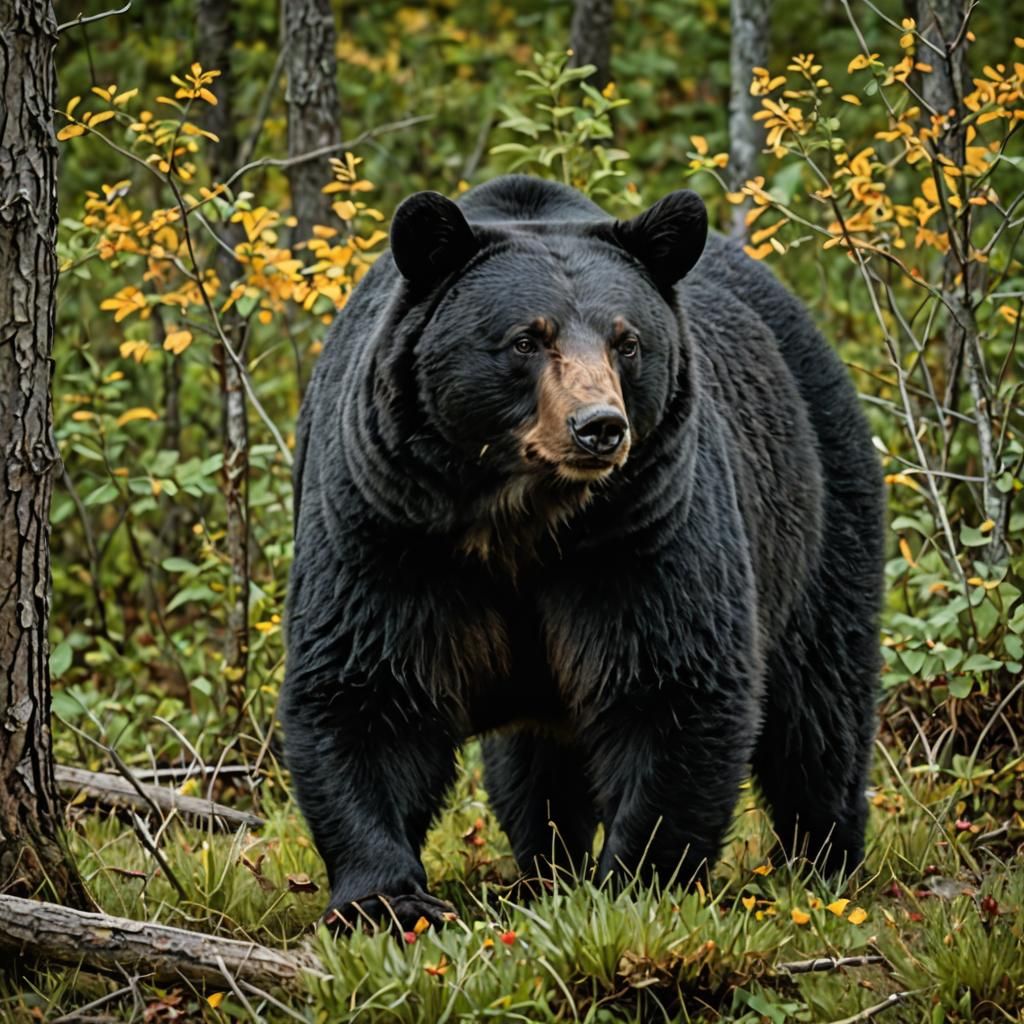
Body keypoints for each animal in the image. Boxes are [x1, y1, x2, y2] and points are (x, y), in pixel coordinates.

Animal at [279, 174, 884, 930]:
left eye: (628, 342)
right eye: (525, 339)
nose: (599, 427)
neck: (521, 517)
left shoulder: (639, 536)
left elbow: (670, 686)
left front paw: (635, 884)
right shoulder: (389, 529)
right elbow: (368, 687)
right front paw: (387, 899)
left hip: (817, 502)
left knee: (821, 707)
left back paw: (823, 860)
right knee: (535, 763)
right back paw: (545, 865)